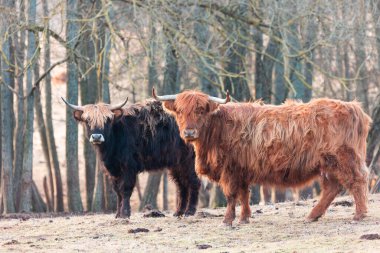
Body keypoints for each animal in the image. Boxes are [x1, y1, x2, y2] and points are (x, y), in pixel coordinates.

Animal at [62, 98, 200, 218]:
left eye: (108, 120)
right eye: (87, 120)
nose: (96, 137)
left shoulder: (129, 166)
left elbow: (125, 189)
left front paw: (125, 214)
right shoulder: (114, 170)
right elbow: (117, 191)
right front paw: (118, 214)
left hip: (190, 161)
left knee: (193, 182)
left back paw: (189, 212)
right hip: (177, 163)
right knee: (182, 184)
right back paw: (179, 212)